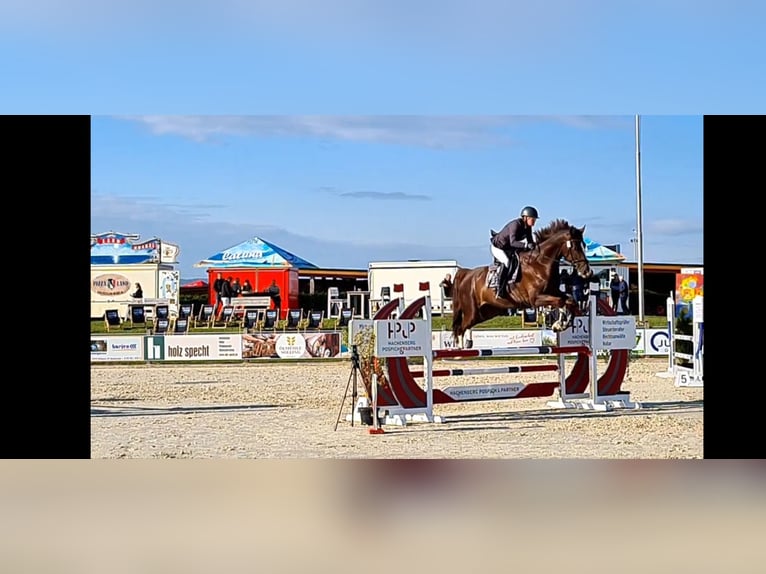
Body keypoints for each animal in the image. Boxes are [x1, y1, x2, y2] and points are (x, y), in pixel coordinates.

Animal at [452, 219, 596, 348]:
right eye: (575, 247)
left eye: (584, 245)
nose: (587, 272)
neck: (541, 263)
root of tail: (466, 275)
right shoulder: (535, 299)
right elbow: (561, 301)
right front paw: (559, 324)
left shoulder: (553, 291)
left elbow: (570, 300)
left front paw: (560, 325)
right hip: (472, 312)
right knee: (460, 328)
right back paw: (459, 350)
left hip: (485, 312)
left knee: (464, 326)